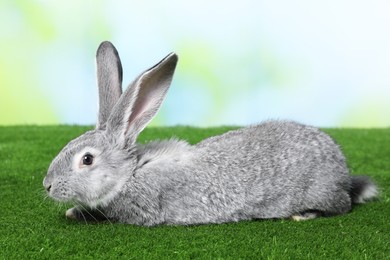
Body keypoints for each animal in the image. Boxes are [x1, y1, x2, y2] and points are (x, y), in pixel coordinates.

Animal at [42, 41, 378, 225]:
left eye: (87, 160)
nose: (47, 186)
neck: (130, 173)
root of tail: (342, 173)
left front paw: (75, 213)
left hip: (320, 193)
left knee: (341, 207)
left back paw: (304, 215)